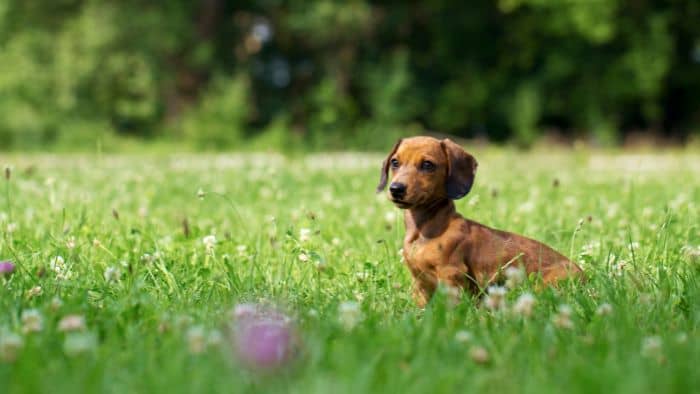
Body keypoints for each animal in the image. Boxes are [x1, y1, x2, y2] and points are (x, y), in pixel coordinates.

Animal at [380, 137, 584, 306]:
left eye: (427, 165)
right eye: (395, 162)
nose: (396, 189)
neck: (424, 230)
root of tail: (583, 274)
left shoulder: (450, 274)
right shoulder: (420, 283)